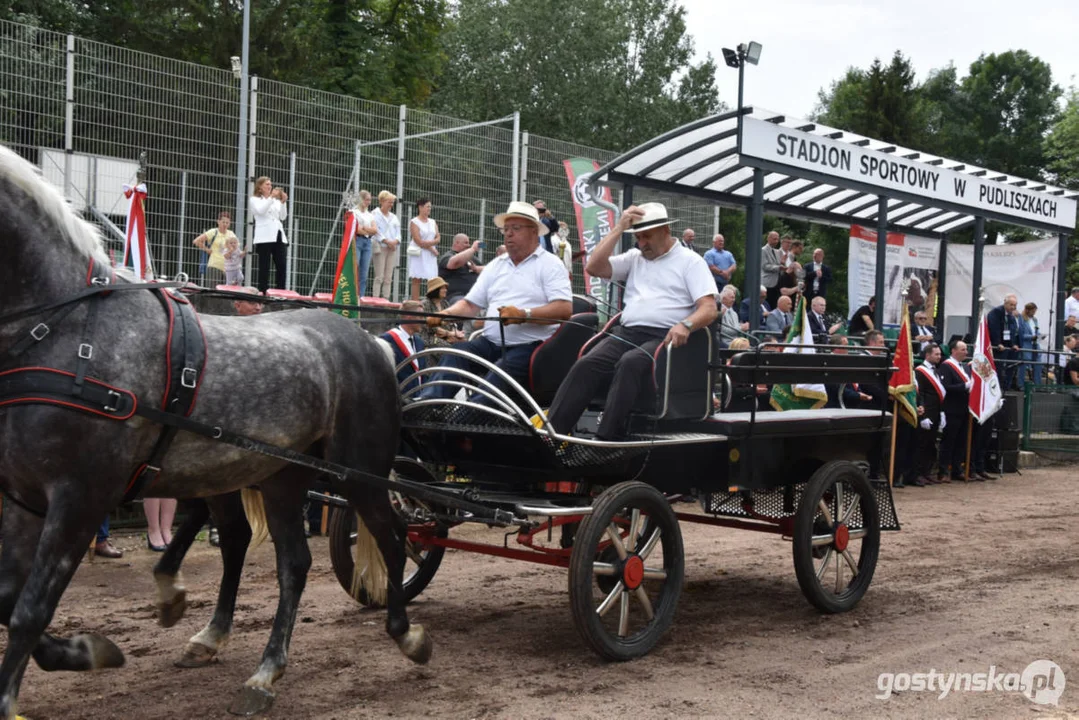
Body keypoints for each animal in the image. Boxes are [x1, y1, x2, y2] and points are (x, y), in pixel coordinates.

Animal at [0, 143, 429, 716]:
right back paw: (263, 666)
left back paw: (406, 634)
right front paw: (85, 651)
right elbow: (10, 598)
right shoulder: (24, 497)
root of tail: (374, 342)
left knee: (393, 535)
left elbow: (30, 607)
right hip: (281, 478)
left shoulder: (81, 497)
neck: (65, 331)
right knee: (293, 563)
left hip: (357, 472)